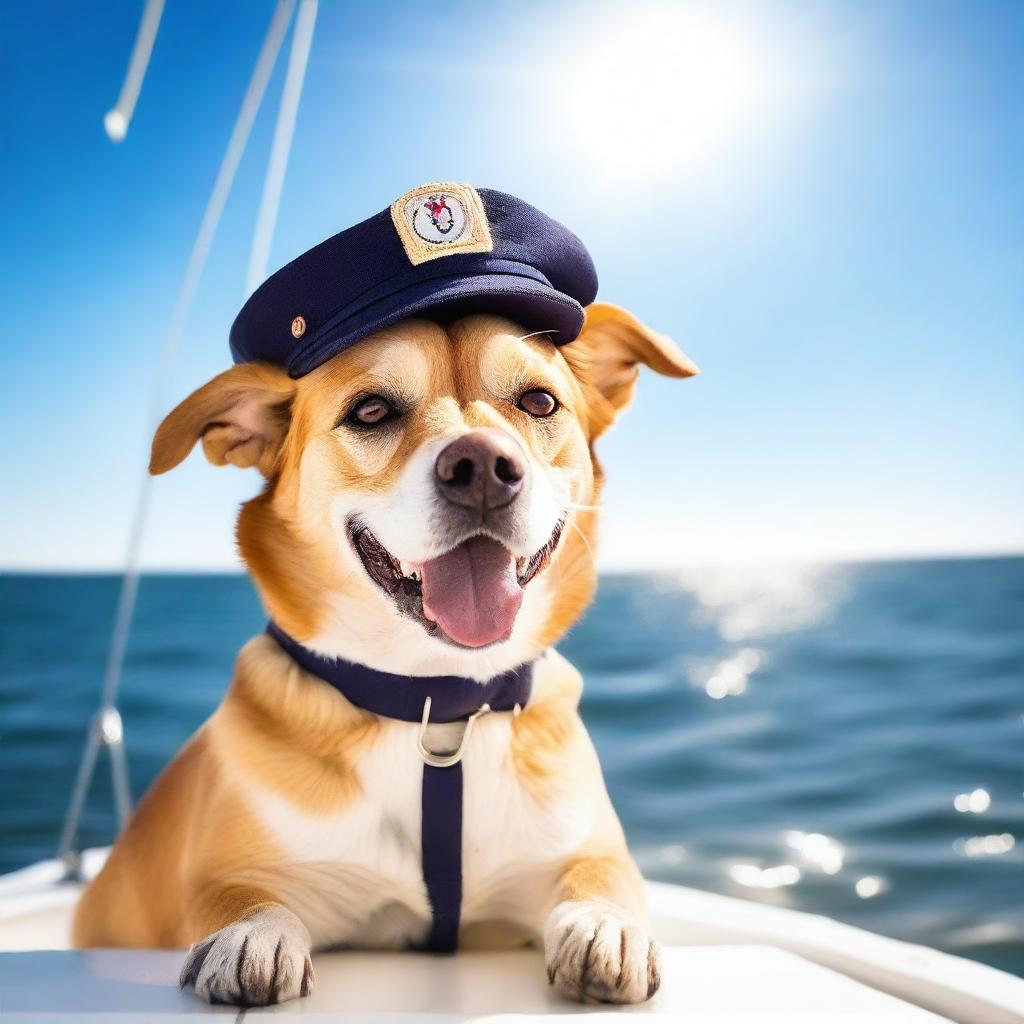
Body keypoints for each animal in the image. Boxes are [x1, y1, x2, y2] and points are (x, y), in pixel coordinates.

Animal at [70, 292, 696, 1003]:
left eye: (539, 401)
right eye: (371, 411)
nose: (483, 468)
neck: (436, 700)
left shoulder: (580, 849)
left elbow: (603, 874)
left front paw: (604, 926)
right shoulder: (233, 871)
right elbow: (237, 894)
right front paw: (249, 935)